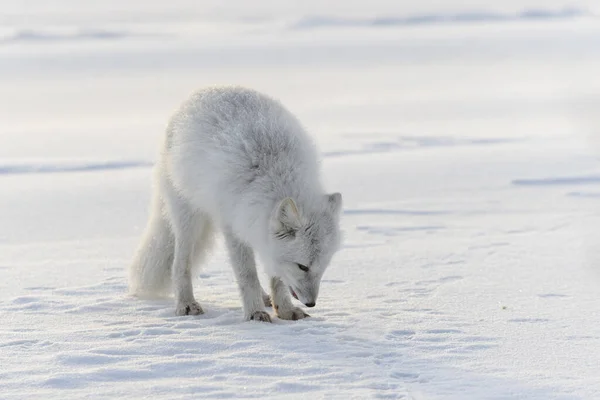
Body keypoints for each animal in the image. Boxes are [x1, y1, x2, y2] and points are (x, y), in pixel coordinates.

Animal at [129, 85, 342, 322]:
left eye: (323, 266)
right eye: (302, 266)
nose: (311, 303)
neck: (276, 174)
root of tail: (202, 91)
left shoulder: (261, 234)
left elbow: (276, 278)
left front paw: (285, 310)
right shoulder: (233, 227)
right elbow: (247, 275)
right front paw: (255, 313)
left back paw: (265, 297)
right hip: (189, 221)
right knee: (180, 265)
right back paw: (186, 304)